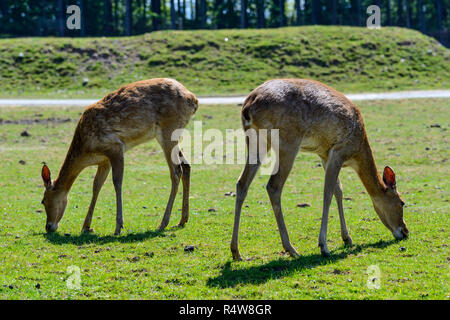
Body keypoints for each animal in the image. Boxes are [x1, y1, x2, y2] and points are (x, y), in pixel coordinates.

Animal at [40, 78, 199, 235]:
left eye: (43, 201)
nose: (48, 226)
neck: (86, 152)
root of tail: (193, 99)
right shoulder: (104, 161)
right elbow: (96, 185)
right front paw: (86, 226)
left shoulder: (115, 147)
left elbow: (117, 182)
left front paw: (118, 227)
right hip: (172, 136)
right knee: (186, 165)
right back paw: (182, 220)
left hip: (168, 130)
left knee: (176, 171)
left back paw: (163, 223)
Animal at [230, 79, 410, 258]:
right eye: (402, 202)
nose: (406, 231)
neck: (356, 152)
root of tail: (248, 106)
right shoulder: (338, 152)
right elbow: (328, 193)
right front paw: (324, 246)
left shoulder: (324, 155)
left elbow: (339, 190)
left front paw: (347, 238)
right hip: (288, 142)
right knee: (273, 186)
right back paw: (291, 249)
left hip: (256, 141)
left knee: (242, 183)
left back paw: (236, 252)